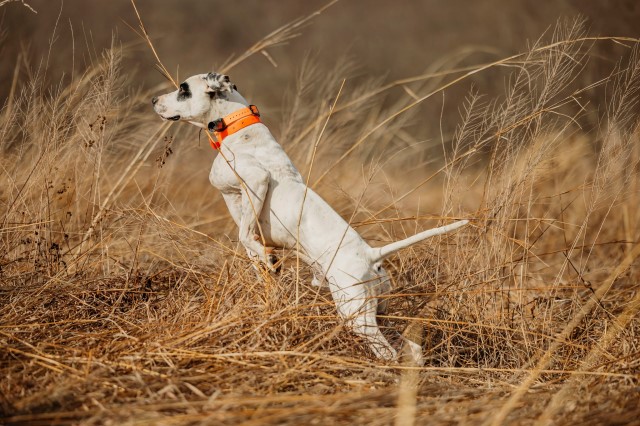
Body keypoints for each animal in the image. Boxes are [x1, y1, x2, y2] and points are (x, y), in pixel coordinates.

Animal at [152, 72, 468, 362]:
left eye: (183, 89)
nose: (154, 99)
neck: (237, 126)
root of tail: (371, 255)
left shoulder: (256, 181)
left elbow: (245, 234)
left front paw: (266, 257)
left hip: (356, 315)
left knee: (387, 351)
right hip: (380, 313)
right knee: (411, 347)